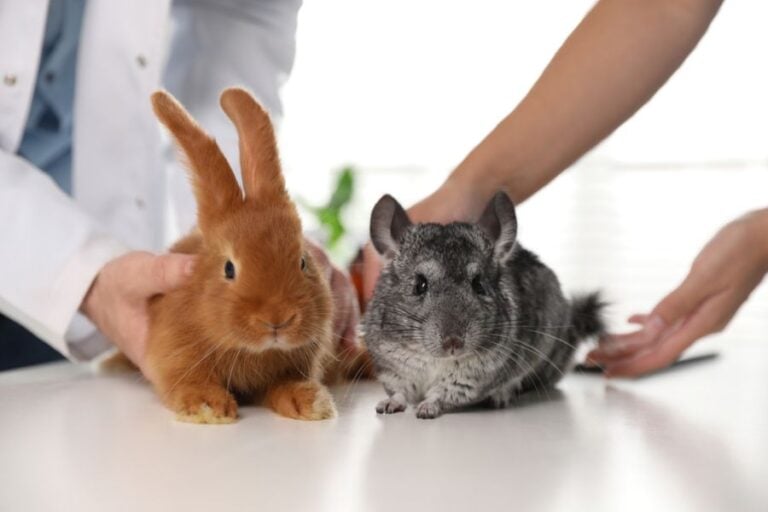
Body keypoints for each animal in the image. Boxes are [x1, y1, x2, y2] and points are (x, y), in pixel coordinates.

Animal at [118, 88, 344, 424]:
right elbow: (191, 380)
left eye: (303, 262)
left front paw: (311, 402)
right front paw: (207, 408)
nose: (277, 320)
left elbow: (284, 384)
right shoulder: (176, 353)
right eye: (229, 269)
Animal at [362, 191, 605, 419]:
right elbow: (400, 393)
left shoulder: (467, 381)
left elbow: (440, 395)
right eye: (419, 285)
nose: (453, 342)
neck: (436, 360)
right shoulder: (394, 370)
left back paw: (500, 397)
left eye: (478, 284)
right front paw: (388, 405)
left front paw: (426, 409)